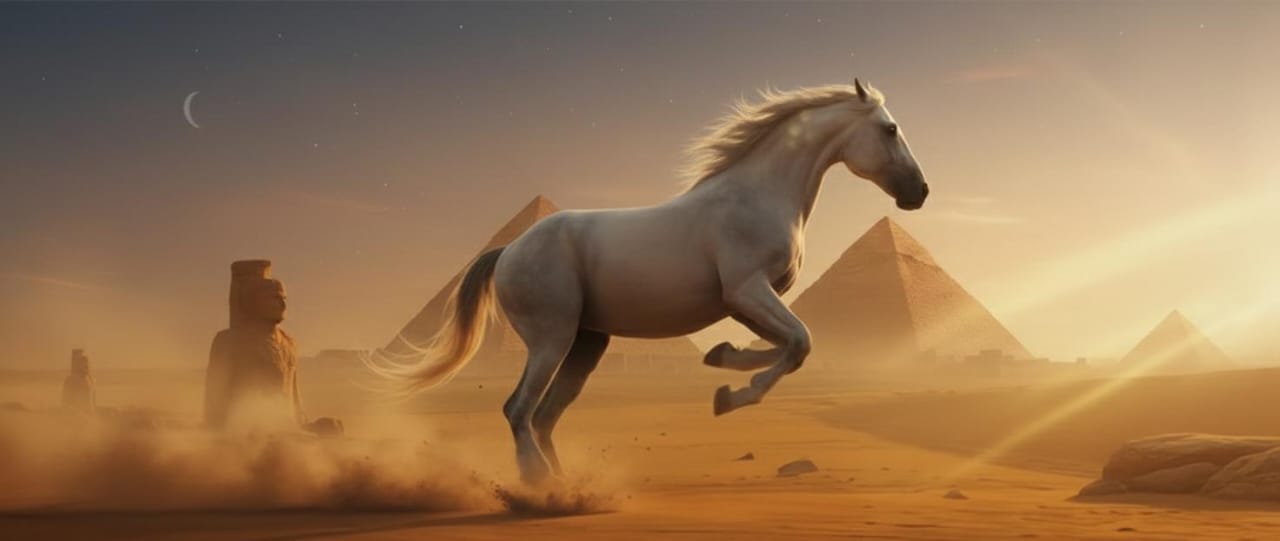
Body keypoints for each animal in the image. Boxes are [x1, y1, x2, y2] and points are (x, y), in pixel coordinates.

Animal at [366, 79, 929, 484]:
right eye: (889, 129)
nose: (919, 192)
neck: (757, 194)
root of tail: (509, 250)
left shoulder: (745, 302)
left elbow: (791, 346)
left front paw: (722, 364)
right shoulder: (747, 289)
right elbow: (799, 342)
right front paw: (732, 395)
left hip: (587, 344)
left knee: (543, 416)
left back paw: (567, 489)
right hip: (551, 338)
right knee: (518, 409)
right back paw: (538, 489)